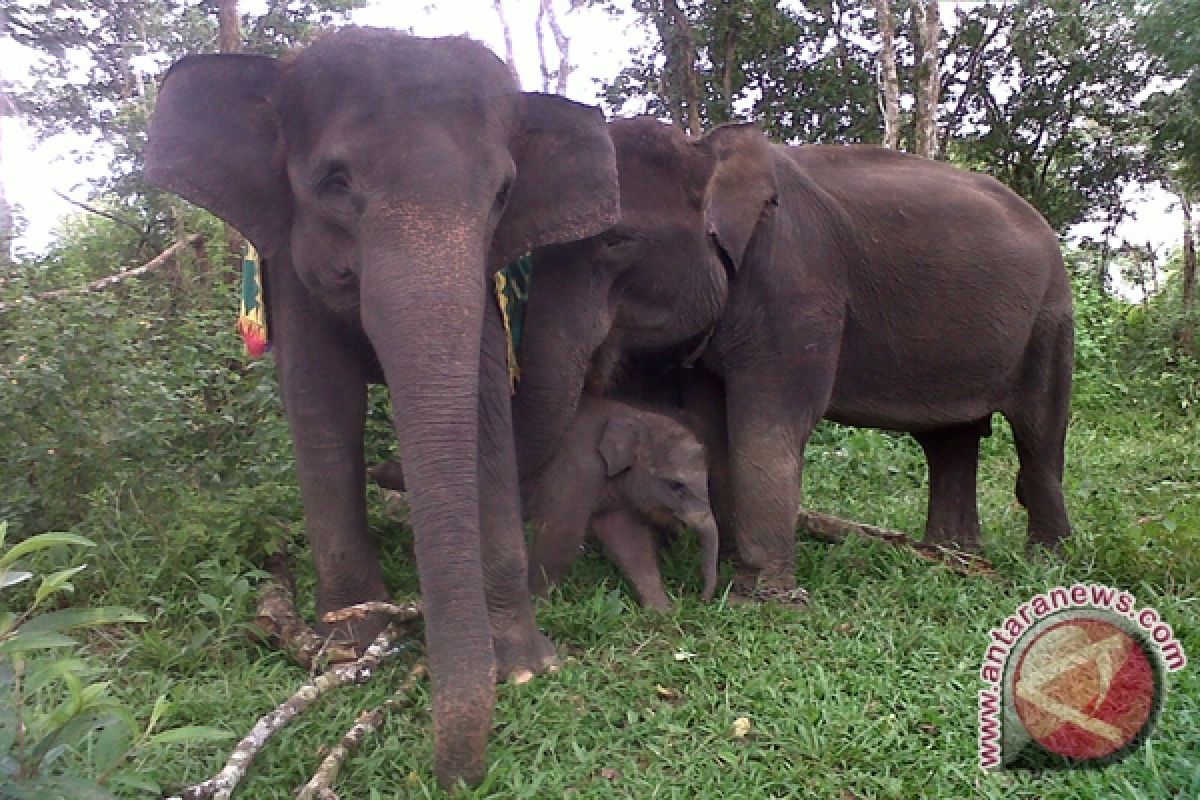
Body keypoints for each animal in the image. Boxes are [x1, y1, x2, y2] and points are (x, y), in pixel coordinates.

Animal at [142, 29, 619, 786]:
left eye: (503, 193)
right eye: (335, 183)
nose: (456, 776)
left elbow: (484, 405)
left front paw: (525, 667)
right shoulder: (288, 264)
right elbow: (321, 405)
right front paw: (348, 645)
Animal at [369, 400, 715, 614]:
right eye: (675, 485)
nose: (702, 598)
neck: (633, 414)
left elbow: (629, 539)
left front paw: (661, 610)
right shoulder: (576, 468)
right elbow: (560, 536)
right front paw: (538, 605)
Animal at [511, 113, 1075, 599]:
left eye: (616, 240)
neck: (705, 147)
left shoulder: (800, 285)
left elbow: (770, 420)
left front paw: (761, 598)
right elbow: (711, 422)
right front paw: (732, 568)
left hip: (1050, 315)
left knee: (1038, 432)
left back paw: (1045, 563)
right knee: (950, 440)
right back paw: (953, 556)